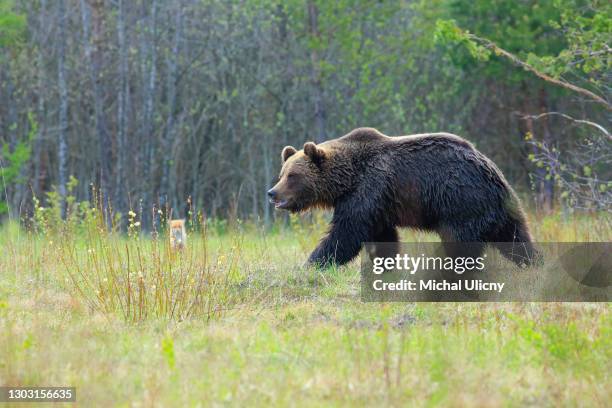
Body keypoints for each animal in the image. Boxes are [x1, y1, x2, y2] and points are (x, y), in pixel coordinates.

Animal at [268, 127, 536, 268]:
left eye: (292, 175)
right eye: (281, 174)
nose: (272, 193)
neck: (347, 180)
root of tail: (491, 171)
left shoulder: (368, 189)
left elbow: (346, 232)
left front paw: (313, 262)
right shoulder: (378, 204)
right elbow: (382, 235)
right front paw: (385, 264)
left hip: (461, 201)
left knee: (460, 242)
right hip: (504, 209)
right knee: (517, 238)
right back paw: (534, 264)